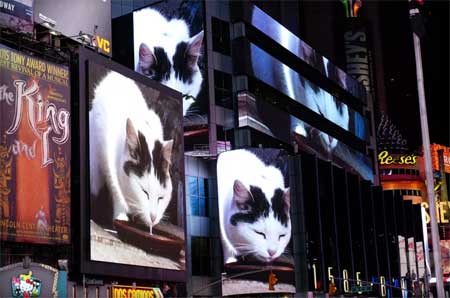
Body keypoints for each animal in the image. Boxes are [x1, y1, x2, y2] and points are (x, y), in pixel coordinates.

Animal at [89, 71, 173, 234]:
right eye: (144, 192)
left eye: (161, 198)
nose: (153, 218)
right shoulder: (107, 156)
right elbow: (116, 189)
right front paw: (121, 215)